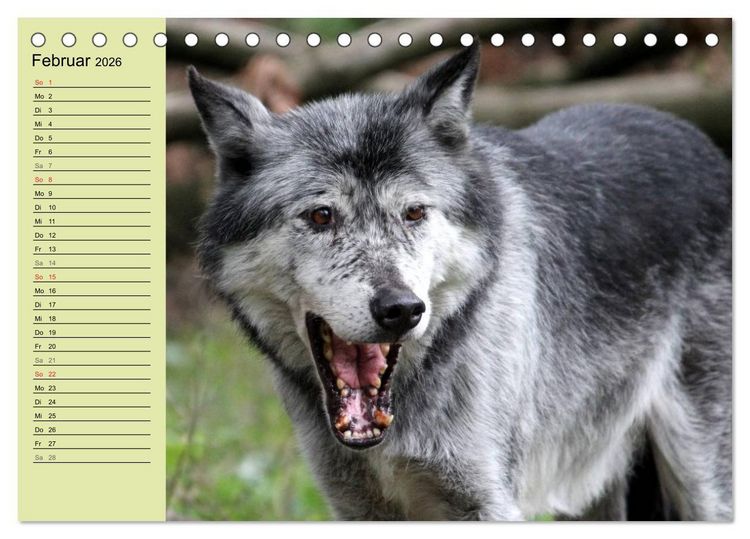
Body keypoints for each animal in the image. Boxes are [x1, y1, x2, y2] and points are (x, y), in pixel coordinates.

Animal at [187, 43, 732, 520]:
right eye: (322, 215)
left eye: (414, 212)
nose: (402, 309)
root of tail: (703, 144)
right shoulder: (359, 507)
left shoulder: (487, 502)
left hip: (705, 485)